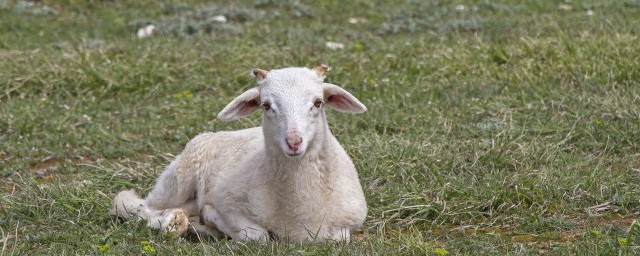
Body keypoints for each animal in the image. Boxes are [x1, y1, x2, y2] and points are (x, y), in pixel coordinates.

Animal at [111, 64, 370, 242]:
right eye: (266, 105)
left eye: (318, 102)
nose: (294, 142)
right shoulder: (228, 203)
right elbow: (258, 236)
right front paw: (211, 219)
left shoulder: (347, 225)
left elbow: (339, 238)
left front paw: (207, 225)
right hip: (178, 178)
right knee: (140, 208)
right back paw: (173, 223)